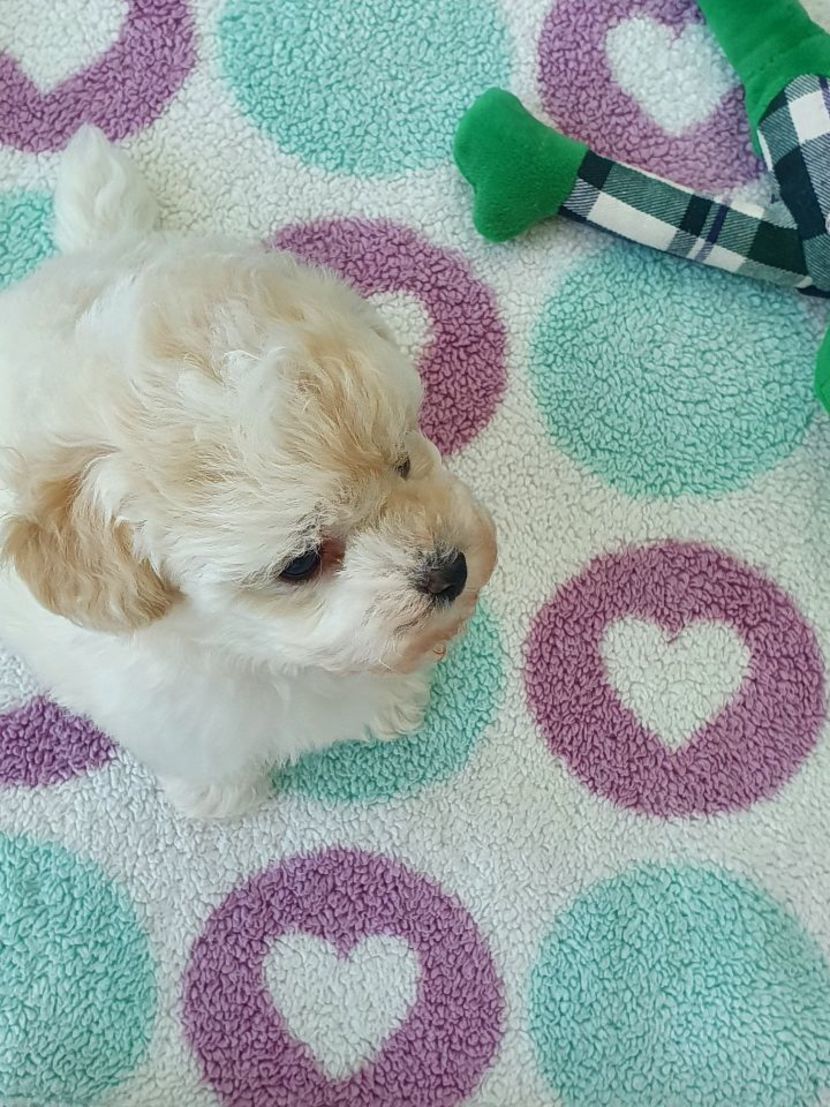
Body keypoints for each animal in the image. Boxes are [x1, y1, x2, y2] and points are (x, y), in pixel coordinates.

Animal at [0, 127, 497, 819]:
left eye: (403, 461)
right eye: (301, 564)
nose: (450, 571)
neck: (259, 655)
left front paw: (394, 702)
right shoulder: (175, 716)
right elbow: (206, 758)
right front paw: (221, 798)